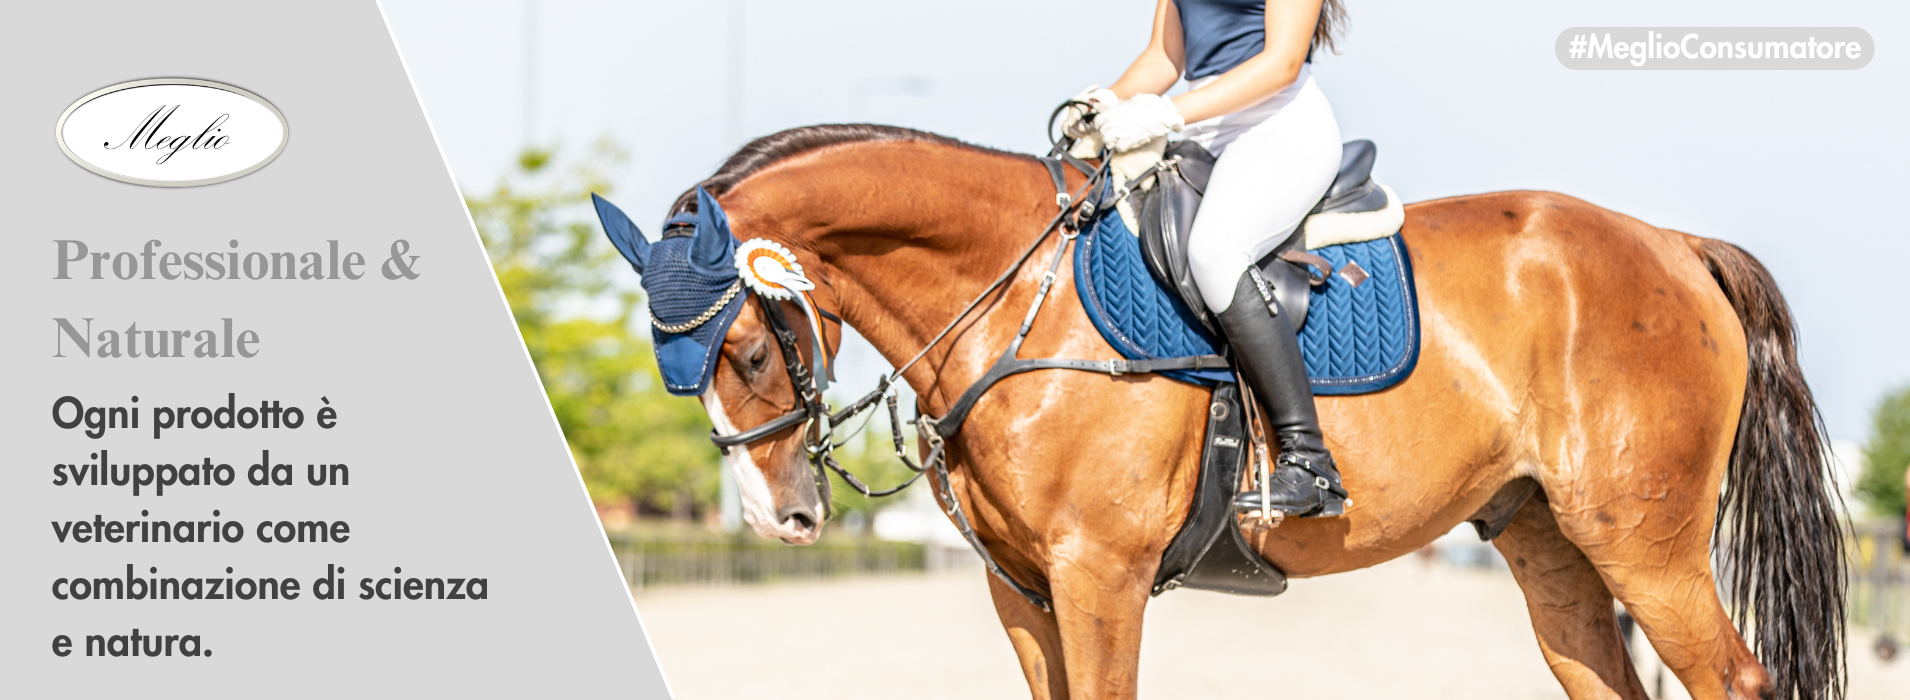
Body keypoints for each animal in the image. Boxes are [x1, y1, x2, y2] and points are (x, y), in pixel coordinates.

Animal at [646, 124, 1845, 700]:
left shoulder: (1099, 576)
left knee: (1732, 677)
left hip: (1642, 541)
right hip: (1550, 542)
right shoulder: (1021, 591)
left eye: (747, 350)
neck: (1017, 295)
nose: (779, 519)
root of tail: (1674, 244)